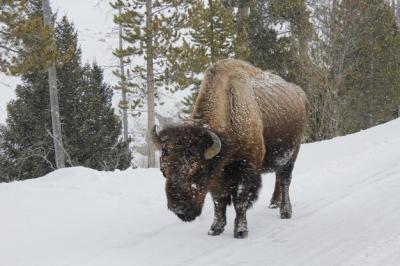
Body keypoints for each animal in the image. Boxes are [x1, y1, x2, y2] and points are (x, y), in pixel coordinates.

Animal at [152, 58, 308, 239]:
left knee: (284, 181)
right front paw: (215, 229)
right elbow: (218, 201)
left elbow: (240, 201)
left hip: (292, 155)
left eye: (196, 171)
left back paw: (285, 211)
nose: (178, 208)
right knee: (278, 177)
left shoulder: (246, 170)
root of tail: (300, 94)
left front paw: (240, 231)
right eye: (163, 171)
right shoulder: (219, 175)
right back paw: (273, 203)